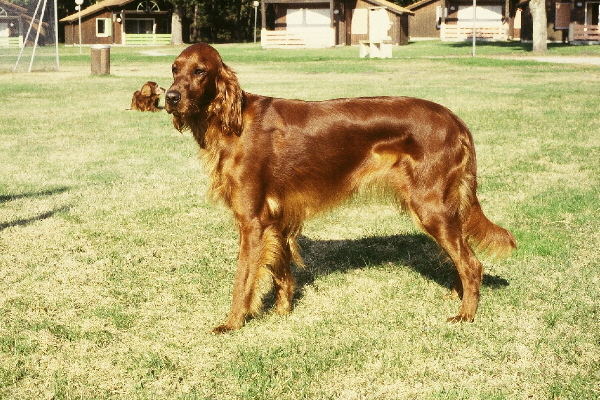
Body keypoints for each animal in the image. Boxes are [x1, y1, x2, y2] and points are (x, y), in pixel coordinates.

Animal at [164, 42, 516, 332]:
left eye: (200, 71)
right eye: (174, 69)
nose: (170, 98)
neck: (233, 121)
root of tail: (455, 121)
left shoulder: (253, 221)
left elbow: (243, 279)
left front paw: (232, 323)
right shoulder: (275, 220)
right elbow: (281, 273)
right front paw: (282, 314)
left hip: (431, 206)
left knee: (471, 263)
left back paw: (466, 314)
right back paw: (456, 297)